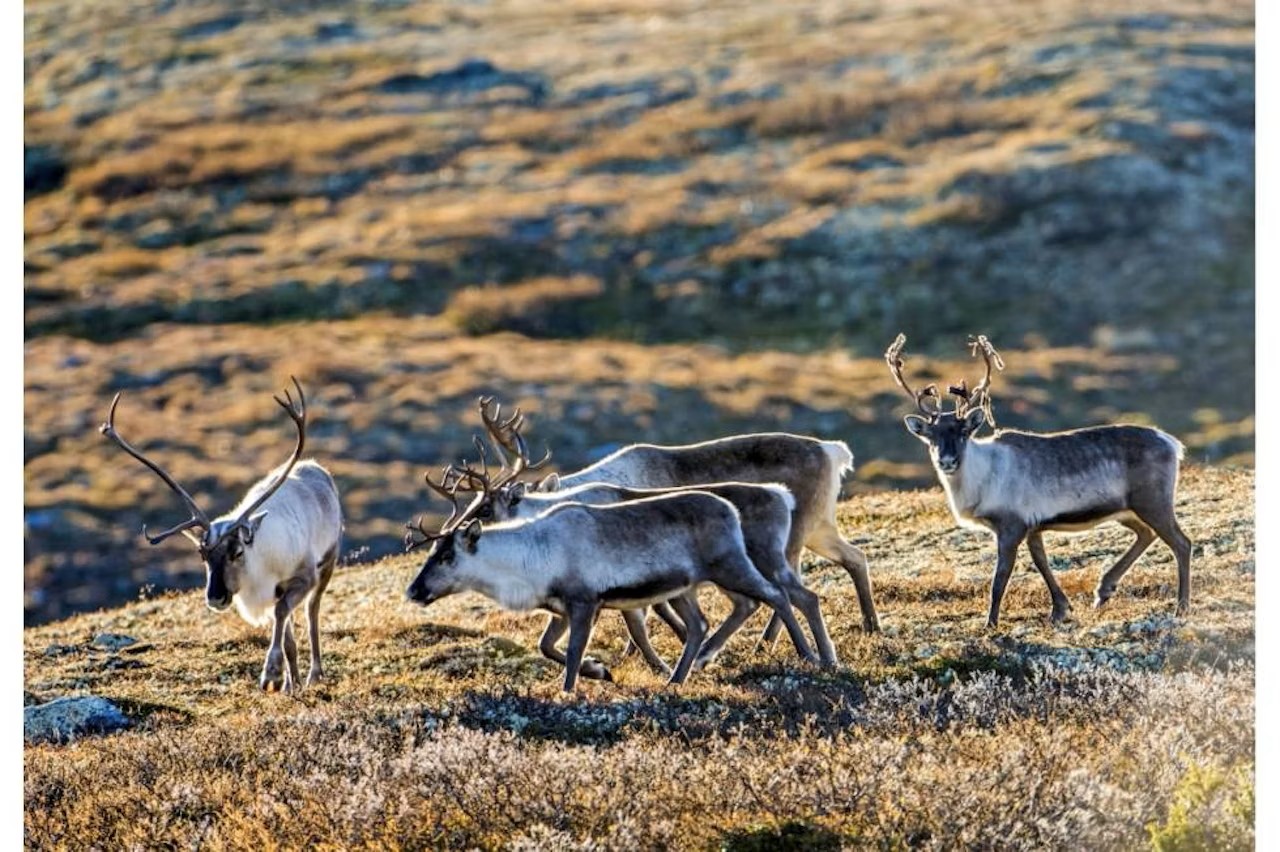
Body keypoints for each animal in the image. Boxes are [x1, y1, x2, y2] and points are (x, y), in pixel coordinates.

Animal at [99, 378, 342, 693]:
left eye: (237, 552)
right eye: (202, 555)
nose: (215, 597)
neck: (260, 565)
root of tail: (317, 468)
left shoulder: (302, 576)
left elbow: (282, 613)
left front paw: (272, 674)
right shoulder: (273, 591)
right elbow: (285, 629)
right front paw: (287, 682)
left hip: (329, 559)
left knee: (312, 611)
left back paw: (315, 674)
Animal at [405, 487, 818, 692]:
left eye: (447, 555)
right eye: (432, 552)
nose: (413, 591)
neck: (531, 557)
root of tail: (730, 510)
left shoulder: (585, 601)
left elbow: (572, 651)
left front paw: (569, 690)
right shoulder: (561, 608)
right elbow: (546, 646)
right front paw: (600, 672)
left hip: (730, 565)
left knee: (779, 595)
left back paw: (817, 657)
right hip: (683, 588)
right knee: (700, 624)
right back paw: (675, 679)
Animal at [886, 333, 1192, 627]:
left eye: (963, 433)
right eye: (930, 437)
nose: (947, 461)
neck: (980, 481)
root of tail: (1172, 442)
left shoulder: (1011, 526)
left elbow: (1000, 579)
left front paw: (990, 624)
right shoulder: (1033, 526)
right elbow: (1041, 561)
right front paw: (1060, 610)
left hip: (1152, 502)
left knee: (1181, 543)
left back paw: (1181, 607)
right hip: (1126, 510)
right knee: (1146, 533)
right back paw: (1104, 590)